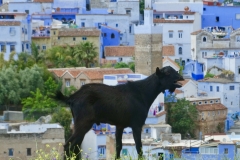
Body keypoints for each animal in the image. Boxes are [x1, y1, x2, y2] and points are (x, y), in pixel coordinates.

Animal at [56, 66, 184, 159]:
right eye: (167, 73)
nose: (181, 77)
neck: (143, 92)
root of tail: (72, 98)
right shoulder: (136, 125)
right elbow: (139, 147)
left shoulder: (120, 125)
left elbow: (118, 146)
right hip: (83, 122)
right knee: (68, 145)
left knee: (75, 145)